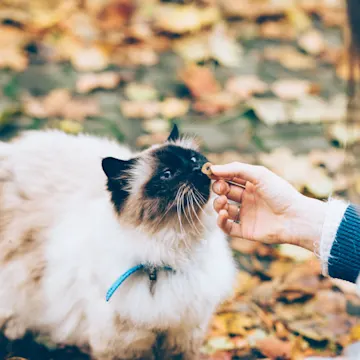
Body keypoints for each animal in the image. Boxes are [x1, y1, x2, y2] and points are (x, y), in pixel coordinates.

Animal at [0, 125, 236, 358]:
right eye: (167, 174)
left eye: (193, 159)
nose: (197, 169)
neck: (171, 253)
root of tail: (10, 150)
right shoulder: (124, 345)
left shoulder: (183, 336)